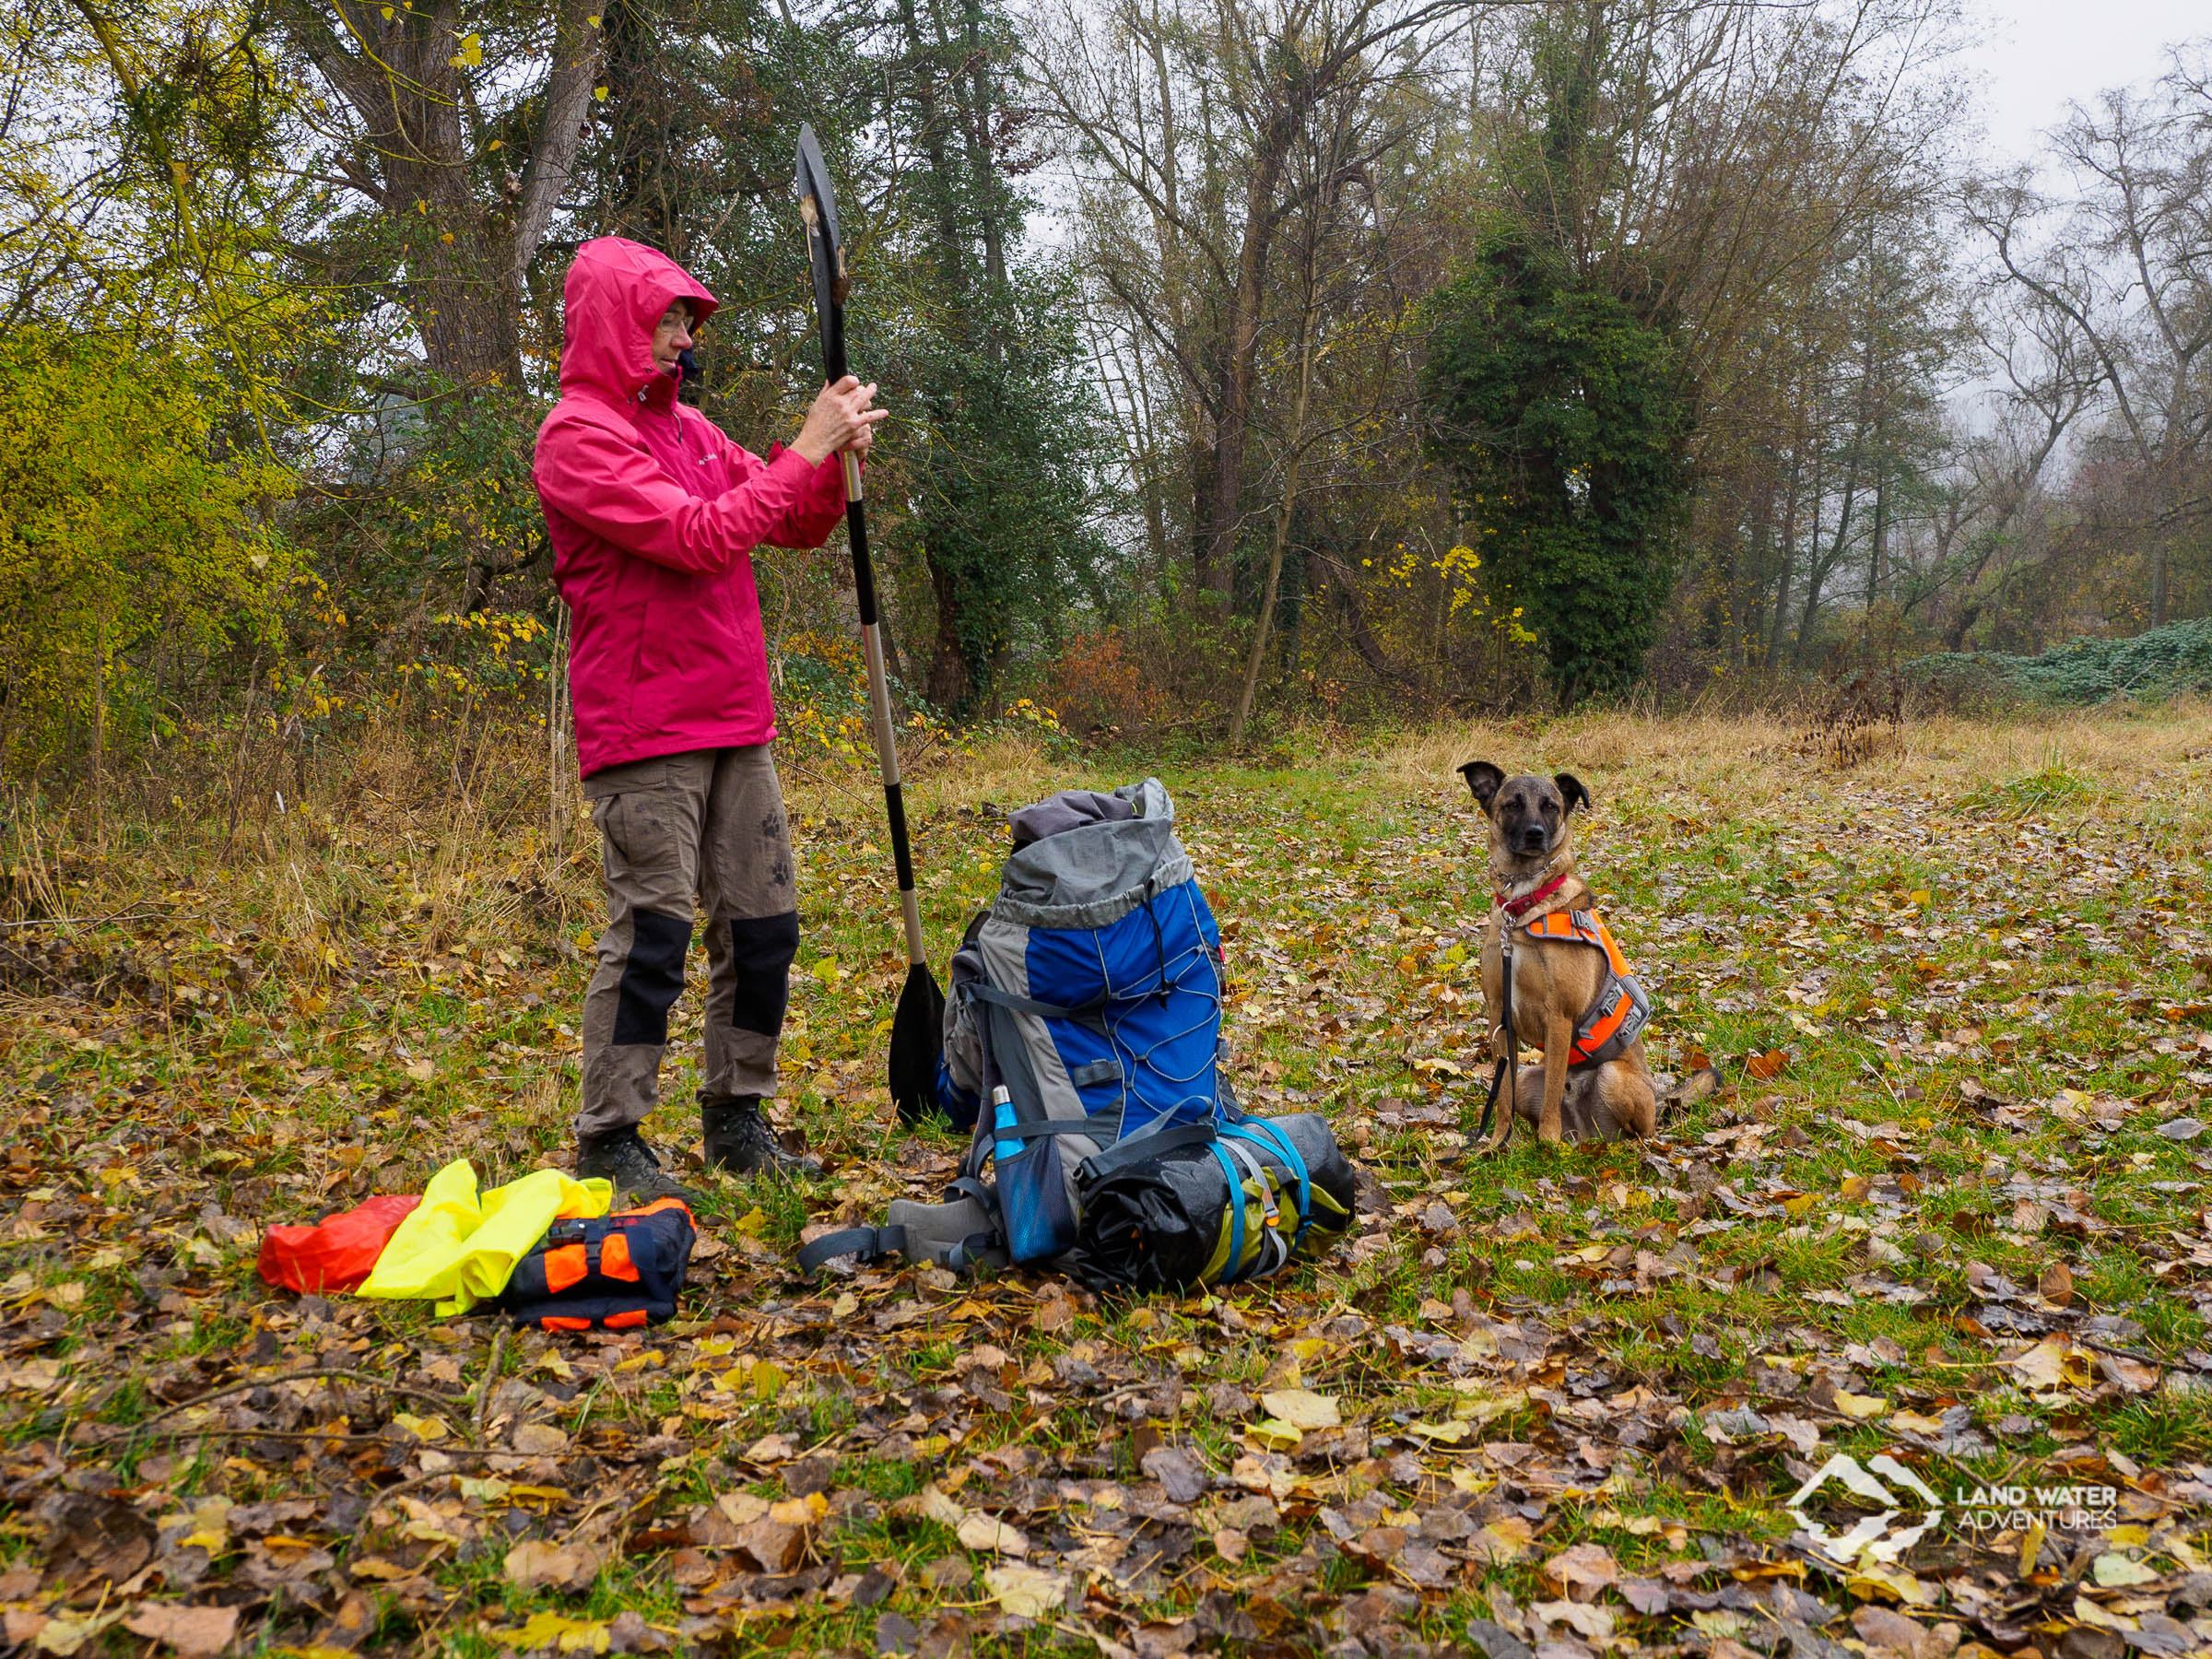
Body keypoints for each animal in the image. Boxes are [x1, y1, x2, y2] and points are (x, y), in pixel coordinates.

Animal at [1460, 765, 1654, 1141]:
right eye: (1513, 804)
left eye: (1551, 806)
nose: (1535, 835)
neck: (1522, 909)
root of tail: (1585, 1132)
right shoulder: (1499, 1017)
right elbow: (1502, 1096)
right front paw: (1497, 1143)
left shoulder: (1559, 1017)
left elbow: (1551, 1090)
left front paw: (1547, 1143)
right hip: (1526, 1081)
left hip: (1612, 1077)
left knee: (1634, 1135)